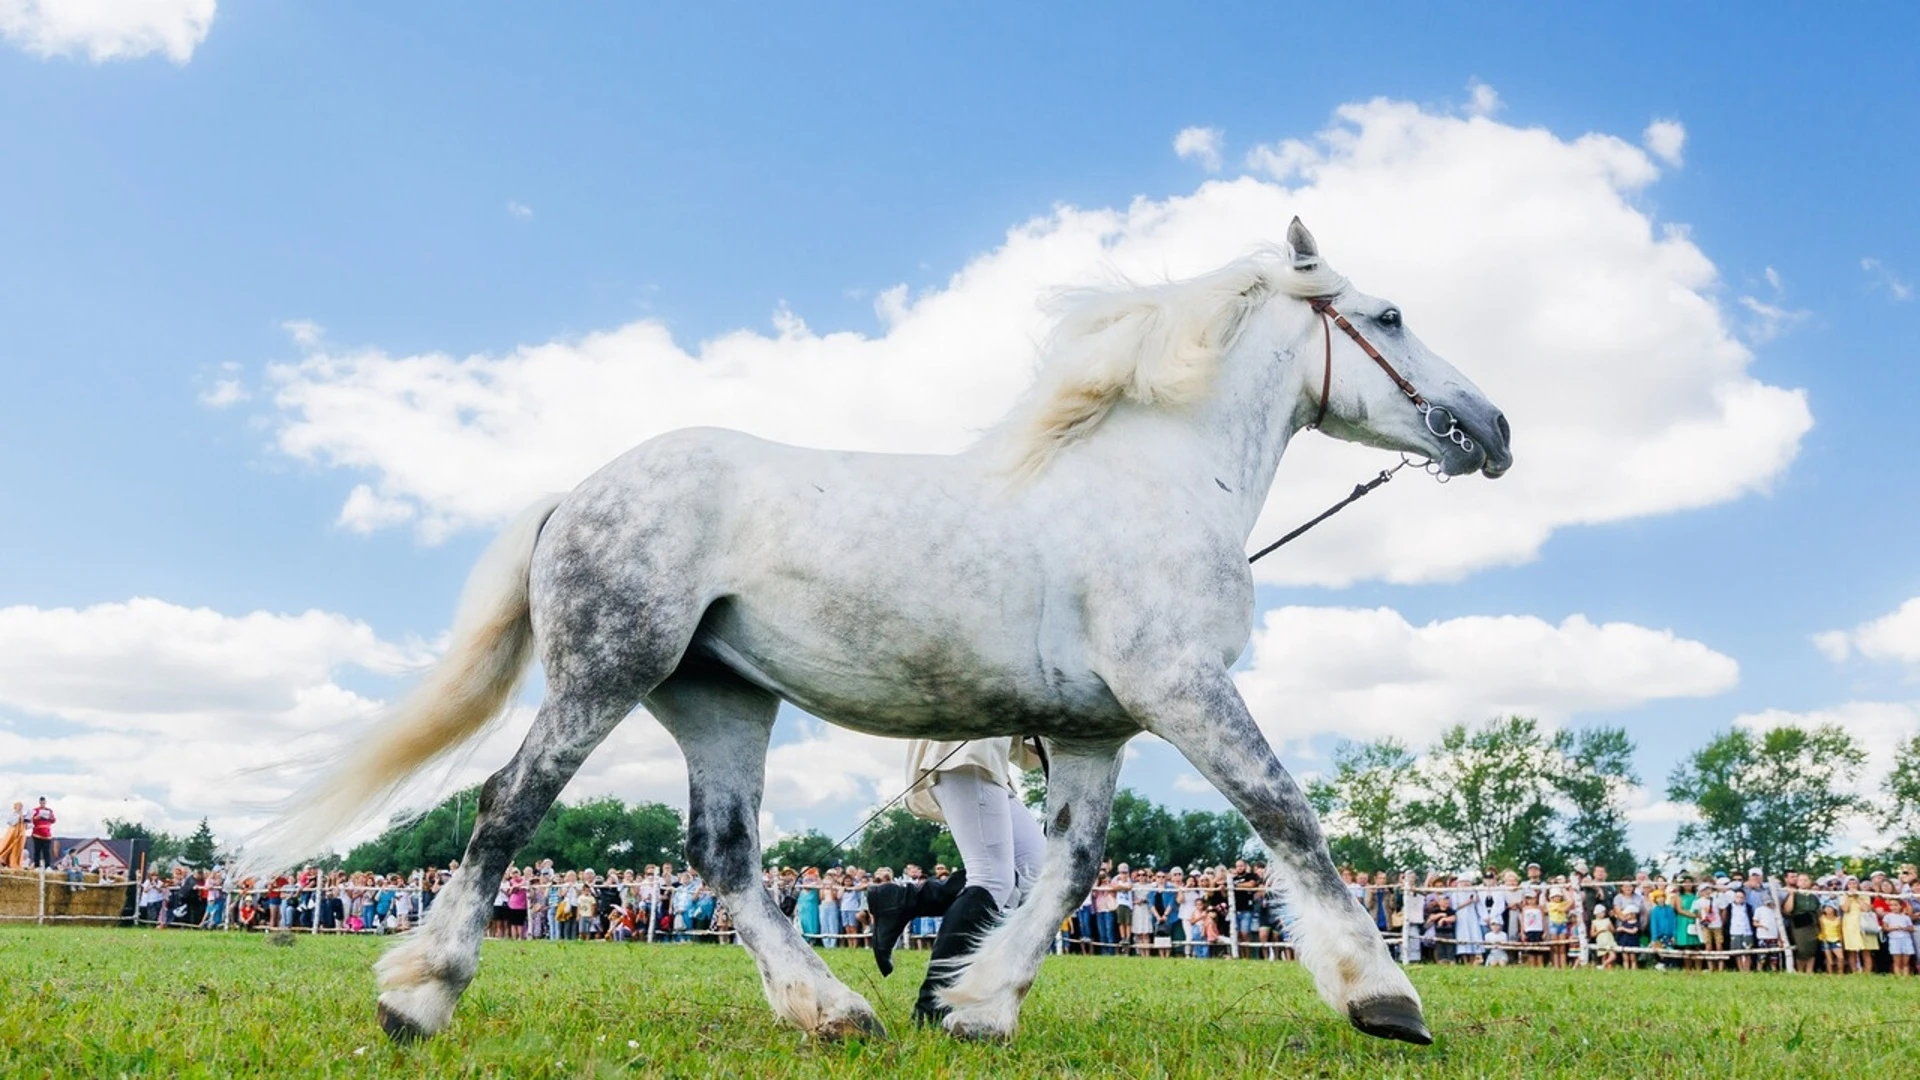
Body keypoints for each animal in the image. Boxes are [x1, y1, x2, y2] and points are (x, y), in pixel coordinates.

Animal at [259, 216, 1512, 1045]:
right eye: (1391, 314)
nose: (1494, 429)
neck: (1156, 482)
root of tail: (577, 492)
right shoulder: (1183, 690)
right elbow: (1289, 817)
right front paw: (1386, 1000)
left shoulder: (1099, 732)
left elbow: (1070, 872)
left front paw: (979, 1007)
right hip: (606, 673)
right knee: (509, 805)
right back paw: (417, 996)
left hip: (719, 698)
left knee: (727, 856)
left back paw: (833, 1010)